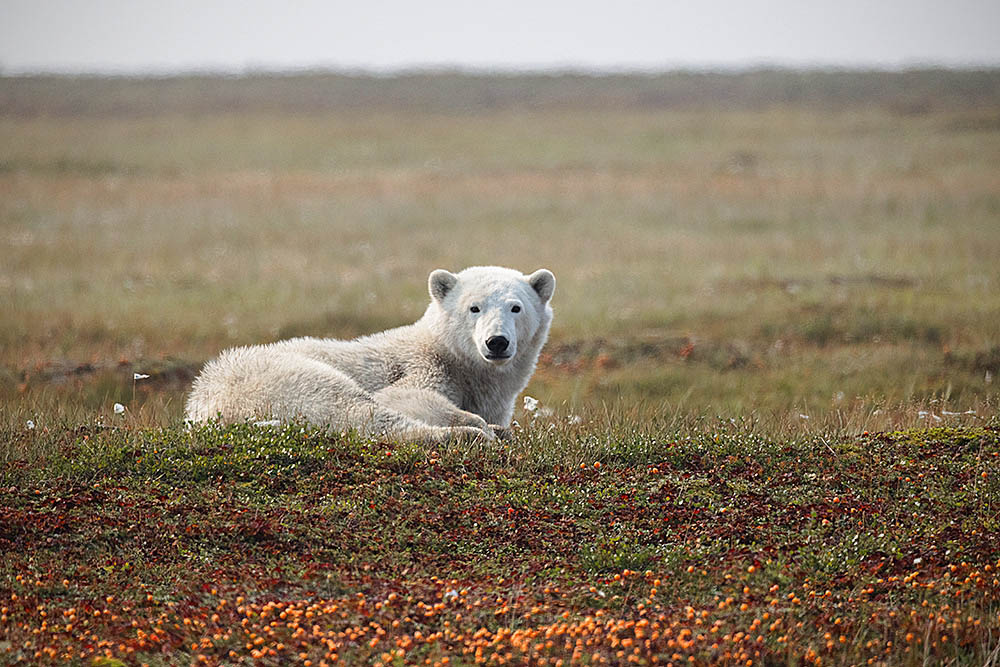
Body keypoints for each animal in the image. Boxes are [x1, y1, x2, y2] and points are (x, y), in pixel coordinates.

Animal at [186, 266, 556, 444]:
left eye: (516, 307)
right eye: (474, 308)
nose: (496, 342)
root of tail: (202, 406)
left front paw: (496, 425)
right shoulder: (421, 367)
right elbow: (402, 397)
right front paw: (476, 424)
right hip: (278, 378)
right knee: (356, 410)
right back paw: (469, 436)